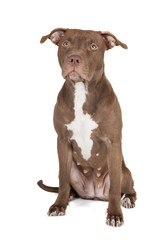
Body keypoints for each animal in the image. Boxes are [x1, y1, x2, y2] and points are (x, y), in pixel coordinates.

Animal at [37, 28, 136, 227]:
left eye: (93, 46)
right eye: (66, 43)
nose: (74, 58)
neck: (82, 91)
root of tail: (94, 195)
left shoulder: (113, 142)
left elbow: (115, 187)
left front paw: (114, 214)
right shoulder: (62, 140)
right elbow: (63, 180)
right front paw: (59, 206)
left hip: (125, 172)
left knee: (129, 188)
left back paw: (128, 199)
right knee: (67, 184)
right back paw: (69, 197)